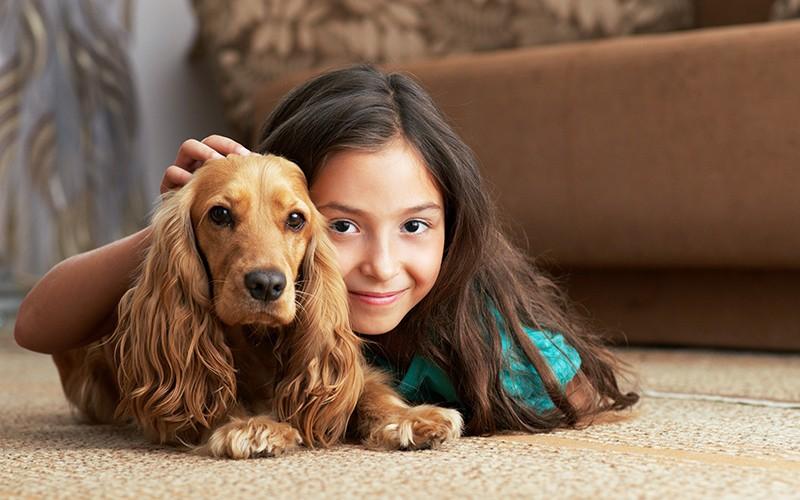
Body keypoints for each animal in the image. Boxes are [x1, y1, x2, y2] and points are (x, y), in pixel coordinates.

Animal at [51, 154, 462, 458]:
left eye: (296, 219)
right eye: (220, 214)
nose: (266, 284)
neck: (259, 340)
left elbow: (370, 391)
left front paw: (411, 418)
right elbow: (213, 395)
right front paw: (253, 427)